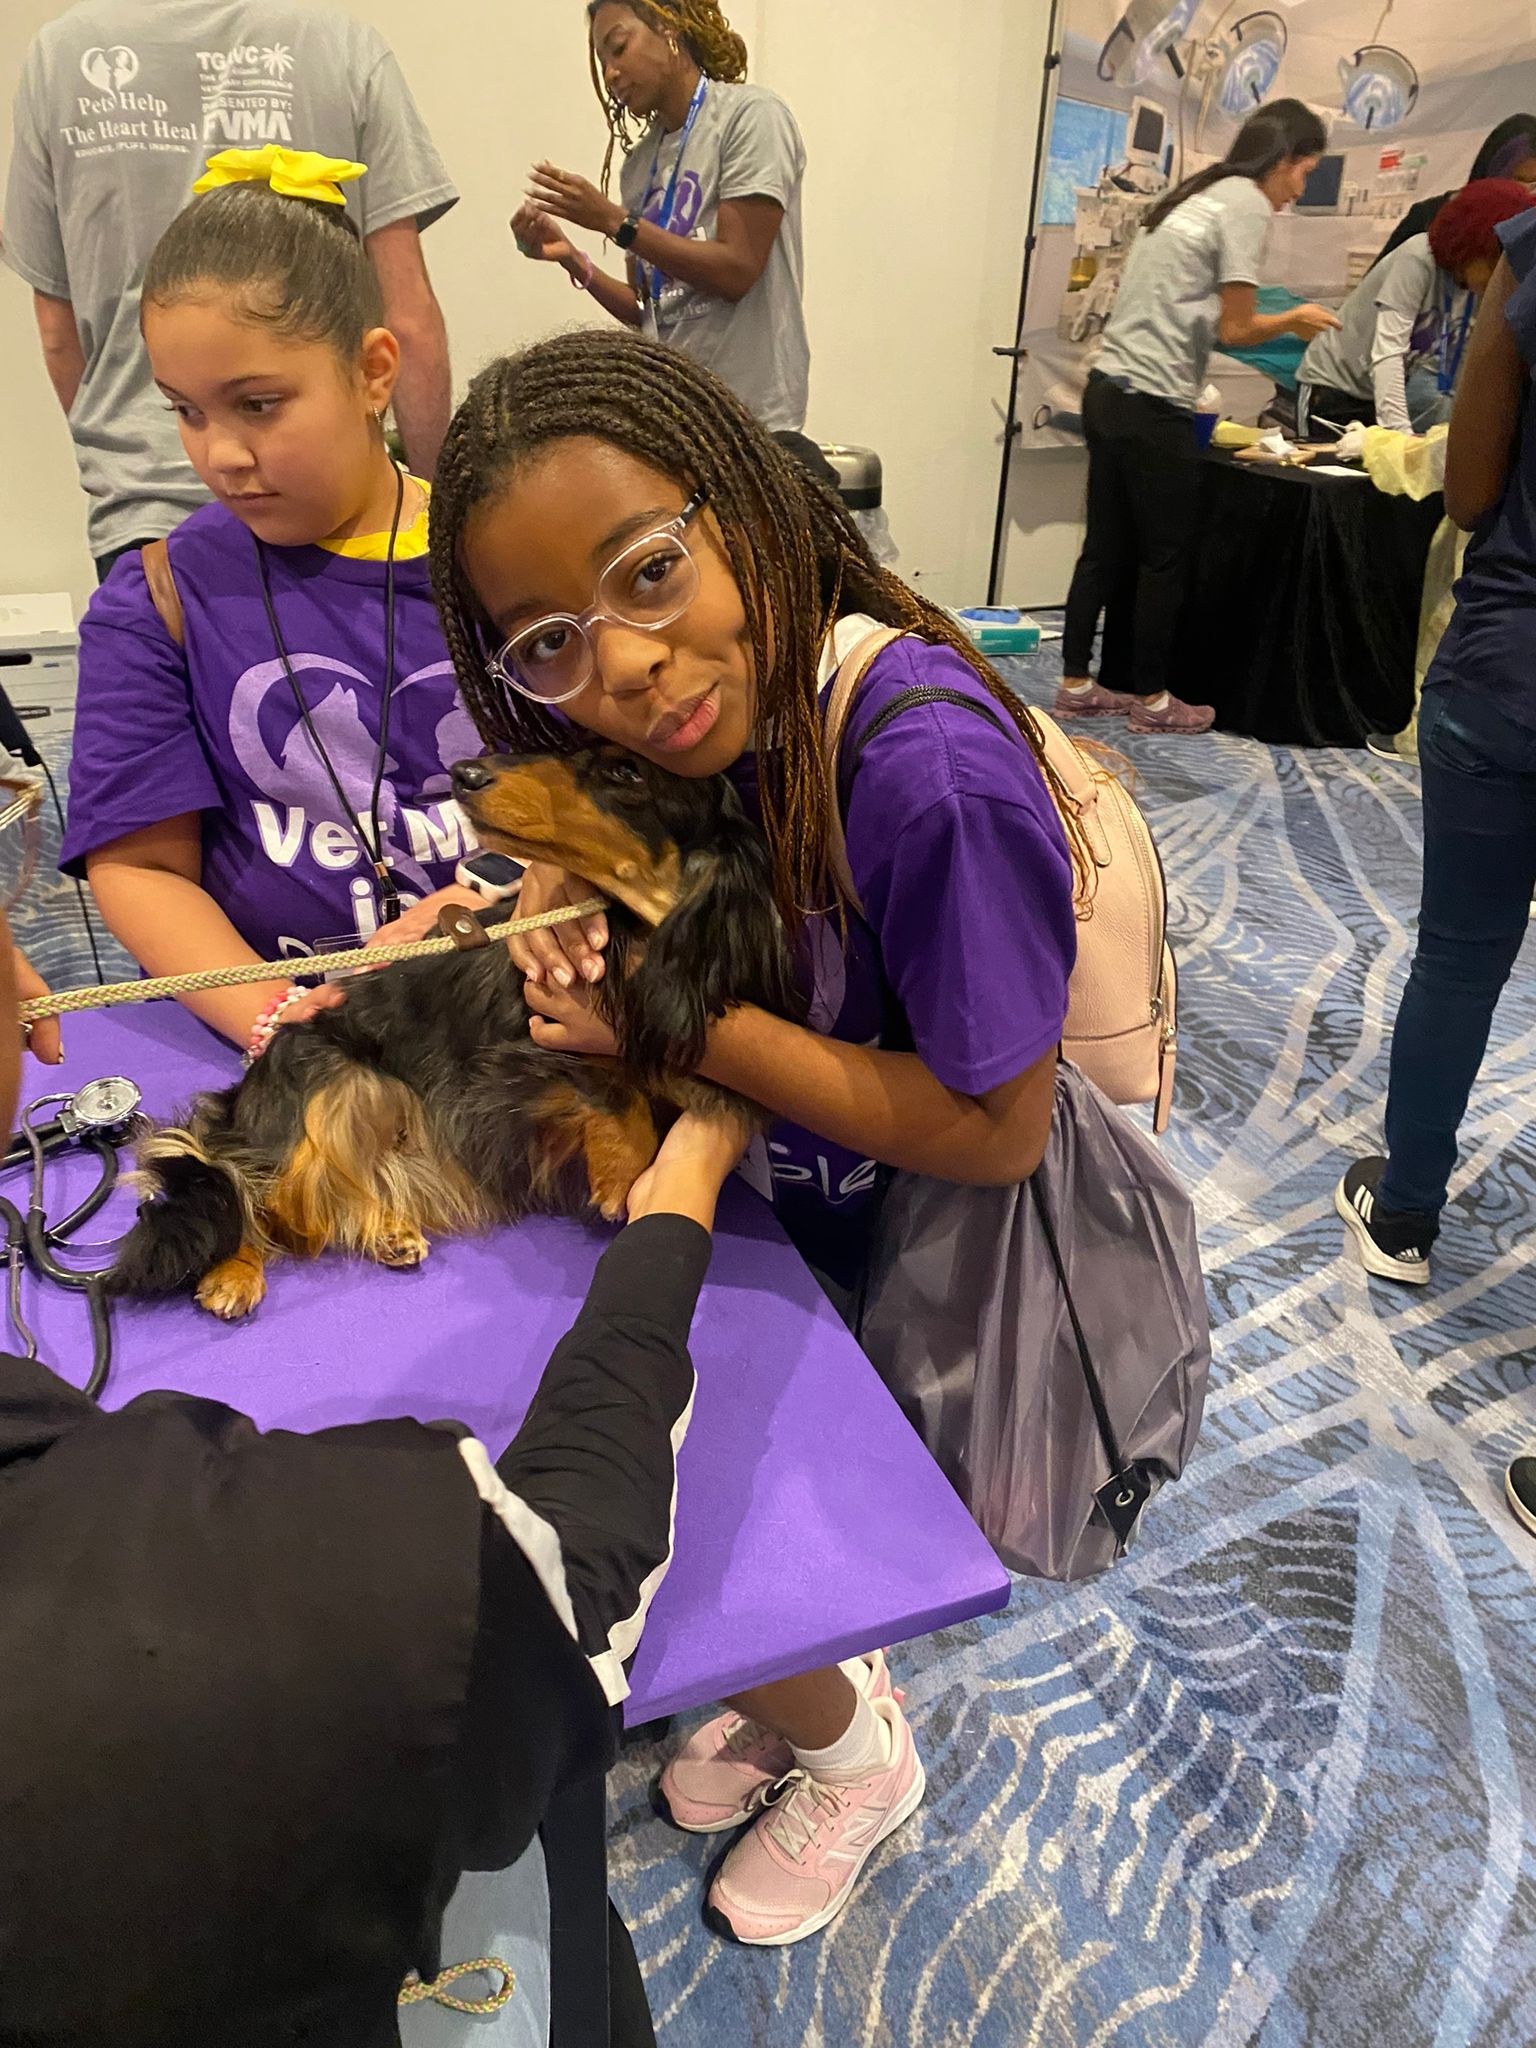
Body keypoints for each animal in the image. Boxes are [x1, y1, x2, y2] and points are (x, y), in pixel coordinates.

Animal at [108, 745, 806, 1318]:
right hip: (342, 1083)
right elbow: (610, 1083)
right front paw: (619, 1170)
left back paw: (386, 1229)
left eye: (627, 772)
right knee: (252, 1190)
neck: (643, 934)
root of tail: (241, 1103)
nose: (465, 773)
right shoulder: (522, 1053)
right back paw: (233, 1270)